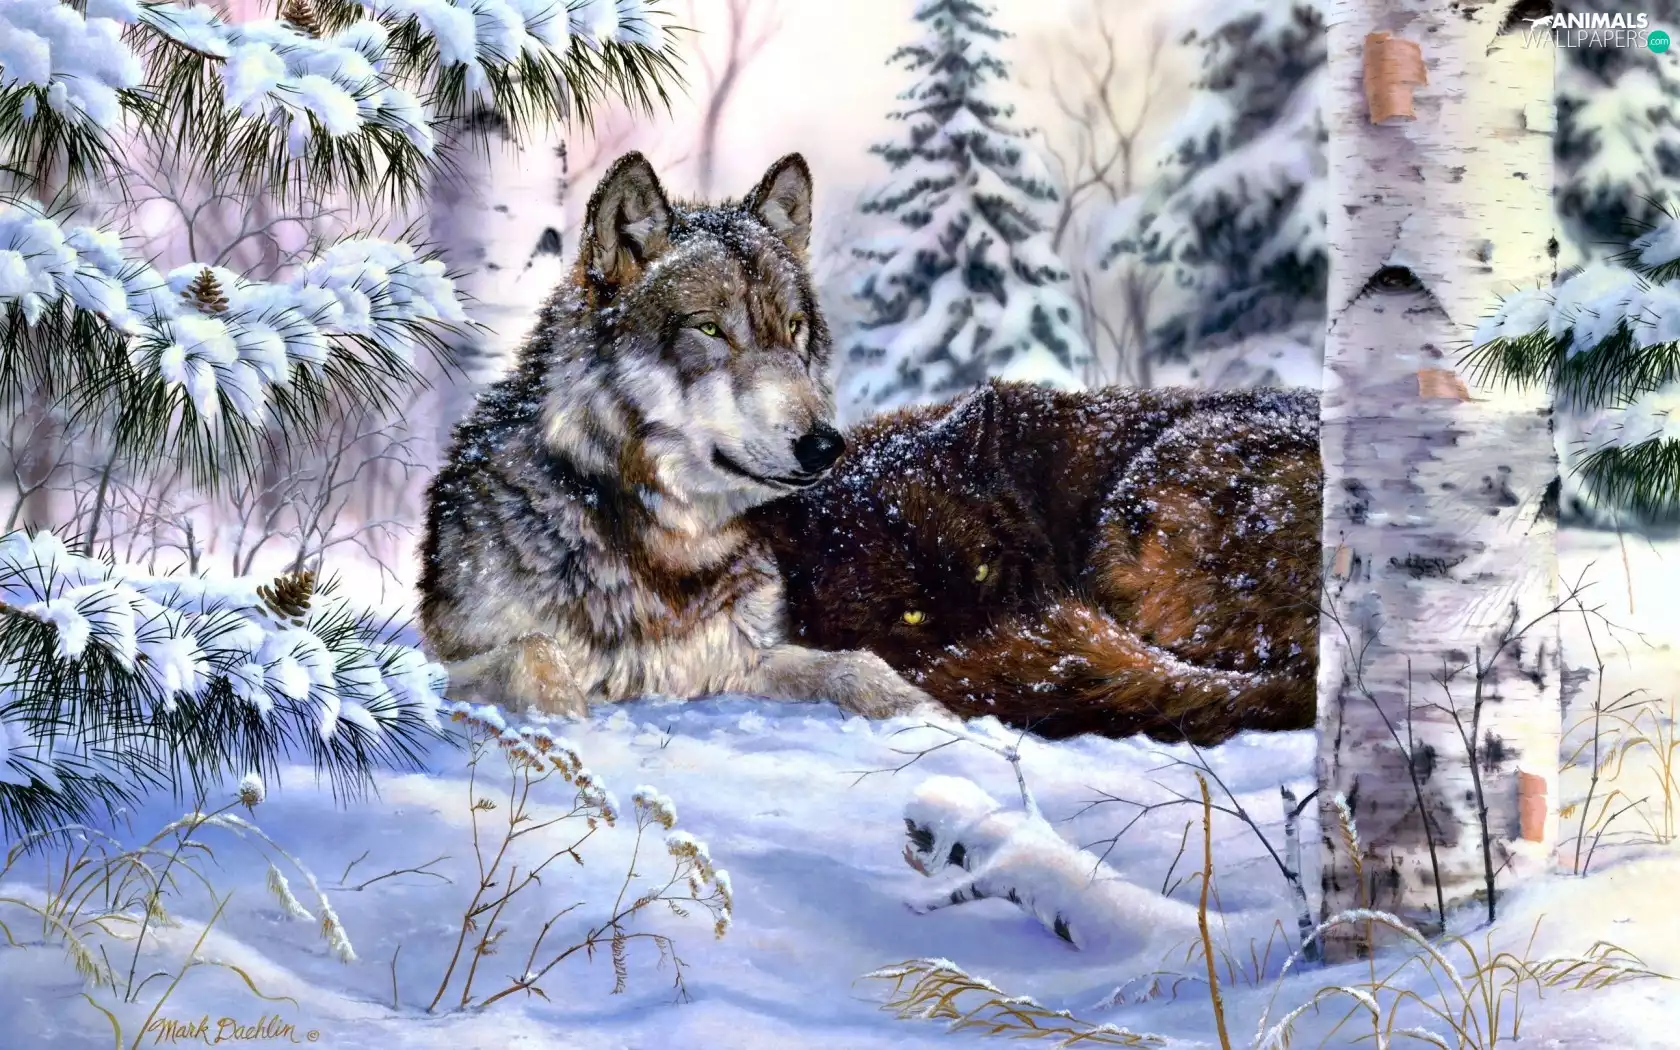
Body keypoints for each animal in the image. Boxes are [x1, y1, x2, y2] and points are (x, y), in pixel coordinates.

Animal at [418, 152, 936, 720]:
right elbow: (534, 652)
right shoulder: (443, 662)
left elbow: (859, 665)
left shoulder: (734, 657)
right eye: (710, 329)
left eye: (794, 327)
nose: (826, 446)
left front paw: (933, 716)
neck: (670, 543)